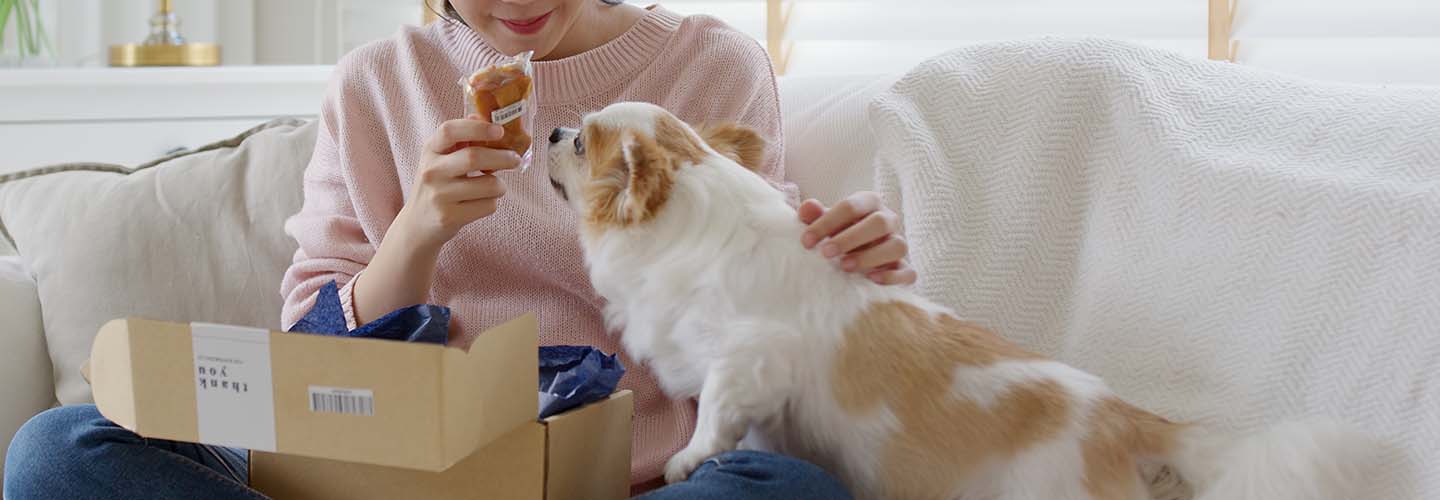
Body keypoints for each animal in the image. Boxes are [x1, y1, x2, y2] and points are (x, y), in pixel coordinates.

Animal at [544, 103, 1376, 500]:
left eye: (581, 144)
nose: (549, 128)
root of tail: (1125, 419)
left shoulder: (750, 358)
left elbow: (716, 412)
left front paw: (689, 458)